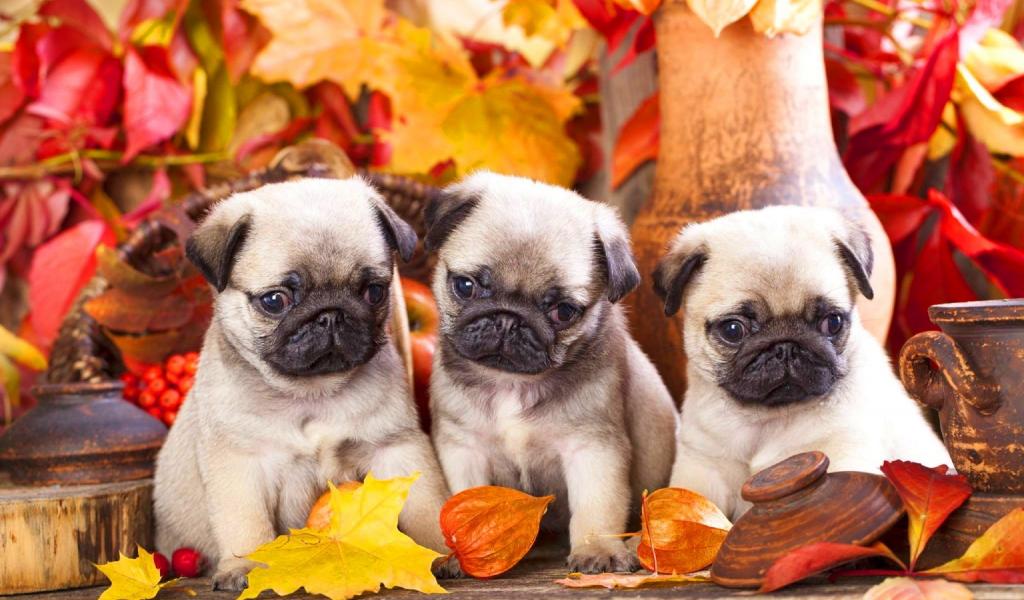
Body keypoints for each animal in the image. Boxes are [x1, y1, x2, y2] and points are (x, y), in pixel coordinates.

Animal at [153, 177, 457, 590]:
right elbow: (247, 524)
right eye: (275, 300)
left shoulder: (396, 447)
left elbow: (424, 502)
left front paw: (434, 552)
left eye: (374, 291)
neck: (311, 393)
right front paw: (246, 568)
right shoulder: (239, 465)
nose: (330, 314)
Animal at [424, 171, 679, 573]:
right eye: (465, 286)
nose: (508, 319)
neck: (512, 383)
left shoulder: (592, 449)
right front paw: (457, 553)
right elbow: (465, 500)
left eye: (563, 311)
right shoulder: (464, 448)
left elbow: (595, 507)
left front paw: (598, 551)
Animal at [653, 205, 952, 519]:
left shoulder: (843, 454)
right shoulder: (702, 467)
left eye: (833, 322)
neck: (767, 419)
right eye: (733, 330)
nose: (785, 346)